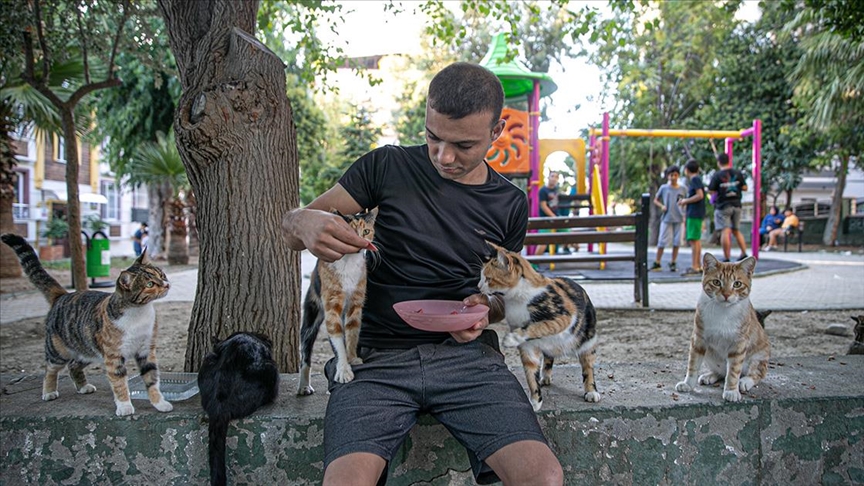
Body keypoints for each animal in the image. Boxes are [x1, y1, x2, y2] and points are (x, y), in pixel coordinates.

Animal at [0, 234, 172, 416]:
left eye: (161, 275)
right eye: (149, 285)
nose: (167, 284)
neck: (138, 313)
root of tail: (62, 295)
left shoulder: (146, 350)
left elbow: (152, 379)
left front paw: (160, 403)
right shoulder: (113, 357)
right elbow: (119, 383)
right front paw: (125, 406)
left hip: (87, 350)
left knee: (73, 365)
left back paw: (83, 387)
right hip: (59, 351)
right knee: (50, 369)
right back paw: (49, 391)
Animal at [298, 206, 376, 394]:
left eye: (366, 231)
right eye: (349, 231)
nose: (361, 241)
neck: (349, 264)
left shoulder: (356, 303)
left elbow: (352, 332)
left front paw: (352, 358)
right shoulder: (332, 305)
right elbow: (336, 337)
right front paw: (343, 370)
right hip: (312, 312)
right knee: (305, 351)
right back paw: (304, 386)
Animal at [476, 241, 596, 412]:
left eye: (488, 278)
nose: (479, 286)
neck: (517, 299)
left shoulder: (565, 316)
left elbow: (541, 325)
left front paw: (512, 338)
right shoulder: (527, 348)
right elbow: (530, 372)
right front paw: (534, 401)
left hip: (587, 338)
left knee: (588, 365)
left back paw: (591, 391)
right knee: (549, 357)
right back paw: (545, 376)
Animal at [676, 252, 768, 400]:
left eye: (737, 284)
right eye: (716, 282)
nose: (726, 294)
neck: (723, 312)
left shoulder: (738, 344)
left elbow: (733, 372)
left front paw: (731, 391)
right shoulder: (698, 339)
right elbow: (693, 365)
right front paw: (688, 384)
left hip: (759, 356)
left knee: (756, 374)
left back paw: (744, 381)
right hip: (709, 354)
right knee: (722, 372)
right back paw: (710, 376)